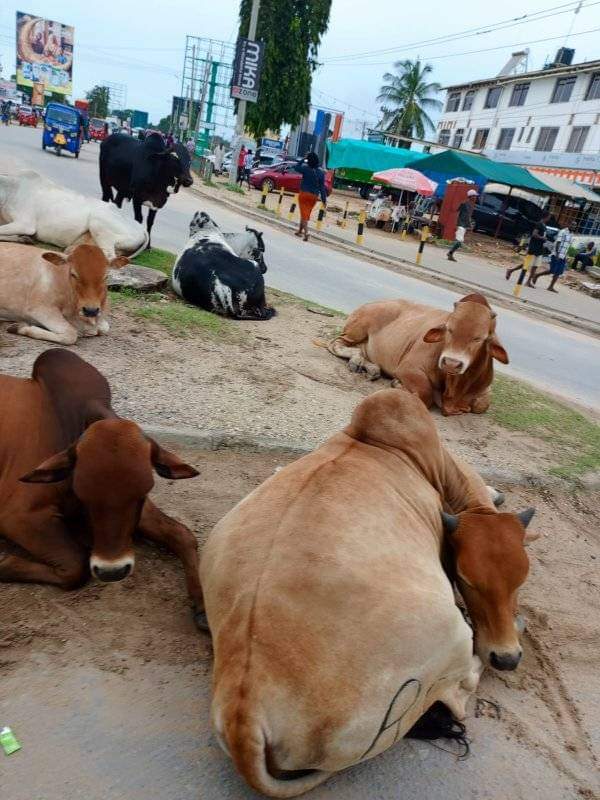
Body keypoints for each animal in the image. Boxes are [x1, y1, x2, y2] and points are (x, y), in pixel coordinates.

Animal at [0, 170, 149, 258]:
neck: (11, 190)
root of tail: (141, 228)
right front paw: (22, 238)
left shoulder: (26, 224)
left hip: (98, 221)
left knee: (109, 256)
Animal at [0, 348, 204, 620]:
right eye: (82, 493)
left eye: (144, 491)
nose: (112, 571)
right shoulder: (18, 516)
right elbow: (75, 566)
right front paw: (4, 563)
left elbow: (183, 534)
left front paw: (202, 603)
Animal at [202, 386, 540, 792]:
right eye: (465, 579)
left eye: (522, 579)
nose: (507, 657)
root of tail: (244, 718)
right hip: (449, 639)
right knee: (458, 694)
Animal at [326, 294, 508, 418]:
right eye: (449, 329)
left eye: (479, 338)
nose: (451, 363)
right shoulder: (408, 368)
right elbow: (425, 394)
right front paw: (398, 384)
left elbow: (481, 405)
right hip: (355, 331)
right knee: (336, 343)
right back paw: (357, 361)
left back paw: (371, 367)